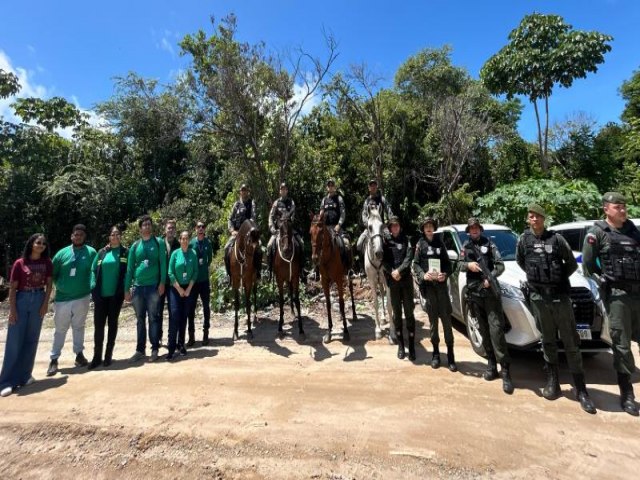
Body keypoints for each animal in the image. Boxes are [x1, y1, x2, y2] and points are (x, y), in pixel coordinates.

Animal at [308, 209, 358, 342]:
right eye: (310, 233)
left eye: (321, 232)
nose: (315, 258)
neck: (327, 257)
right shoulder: (325, 281)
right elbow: (328, 304)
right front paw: (329, 331)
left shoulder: (339, 280)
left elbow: (341, 303)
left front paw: (346, 331)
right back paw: (341, 316)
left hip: (347, 276)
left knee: (350, 291)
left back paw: (354, 315)